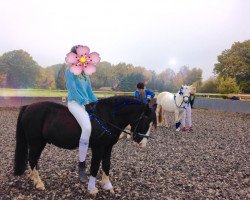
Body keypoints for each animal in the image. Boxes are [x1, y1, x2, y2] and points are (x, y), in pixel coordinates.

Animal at [14, 96, 156, 196]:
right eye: (145, 119)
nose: (143, 144)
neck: (107, 117)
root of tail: (28, 107)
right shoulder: (98, 148)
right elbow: (94, 167)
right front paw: (92, 190)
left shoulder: (108, 147)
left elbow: (106, 165)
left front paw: (107, 186)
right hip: (36, 142)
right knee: (32, 159)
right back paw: (39, 183)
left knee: (33, 160)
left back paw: (33, 178)